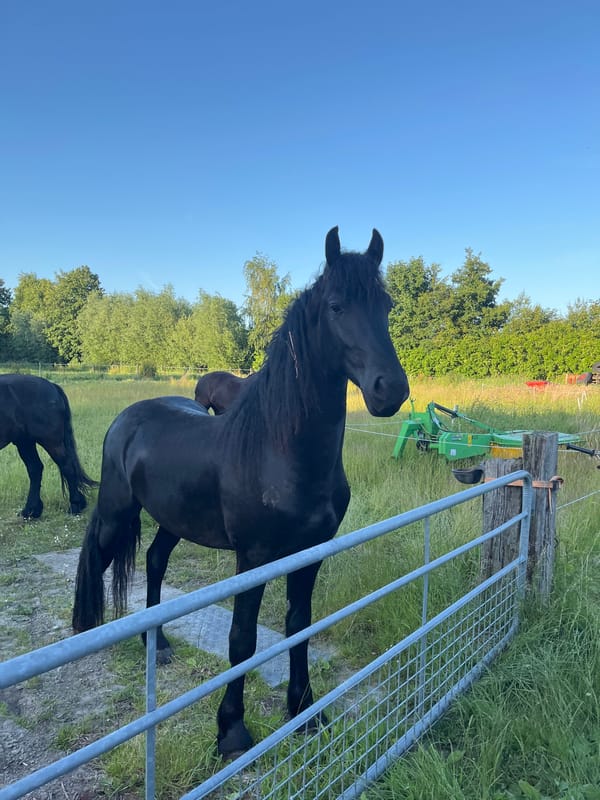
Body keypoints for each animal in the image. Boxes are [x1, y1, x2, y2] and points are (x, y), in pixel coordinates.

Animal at [0, 374, 97, 518]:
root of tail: (52, 386)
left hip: (50, 441)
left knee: (66, 466)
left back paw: (75, 505)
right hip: (25, 441)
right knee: (35, 469)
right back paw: (31, 510)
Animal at [72, 226, 410, 757]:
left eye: (387, 305)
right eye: (337, 306)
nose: (390, 390)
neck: (280, 453)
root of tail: (128, 417)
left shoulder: (310, 553)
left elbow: (299, 626)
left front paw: (304, 711)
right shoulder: (253, 558)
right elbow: (242, 640)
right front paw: (232, 730)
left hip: (173, 519)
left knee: (153, 561)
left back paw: (158, 644)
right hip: (114, 514)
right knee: (96, 559)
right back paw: (84, 633)